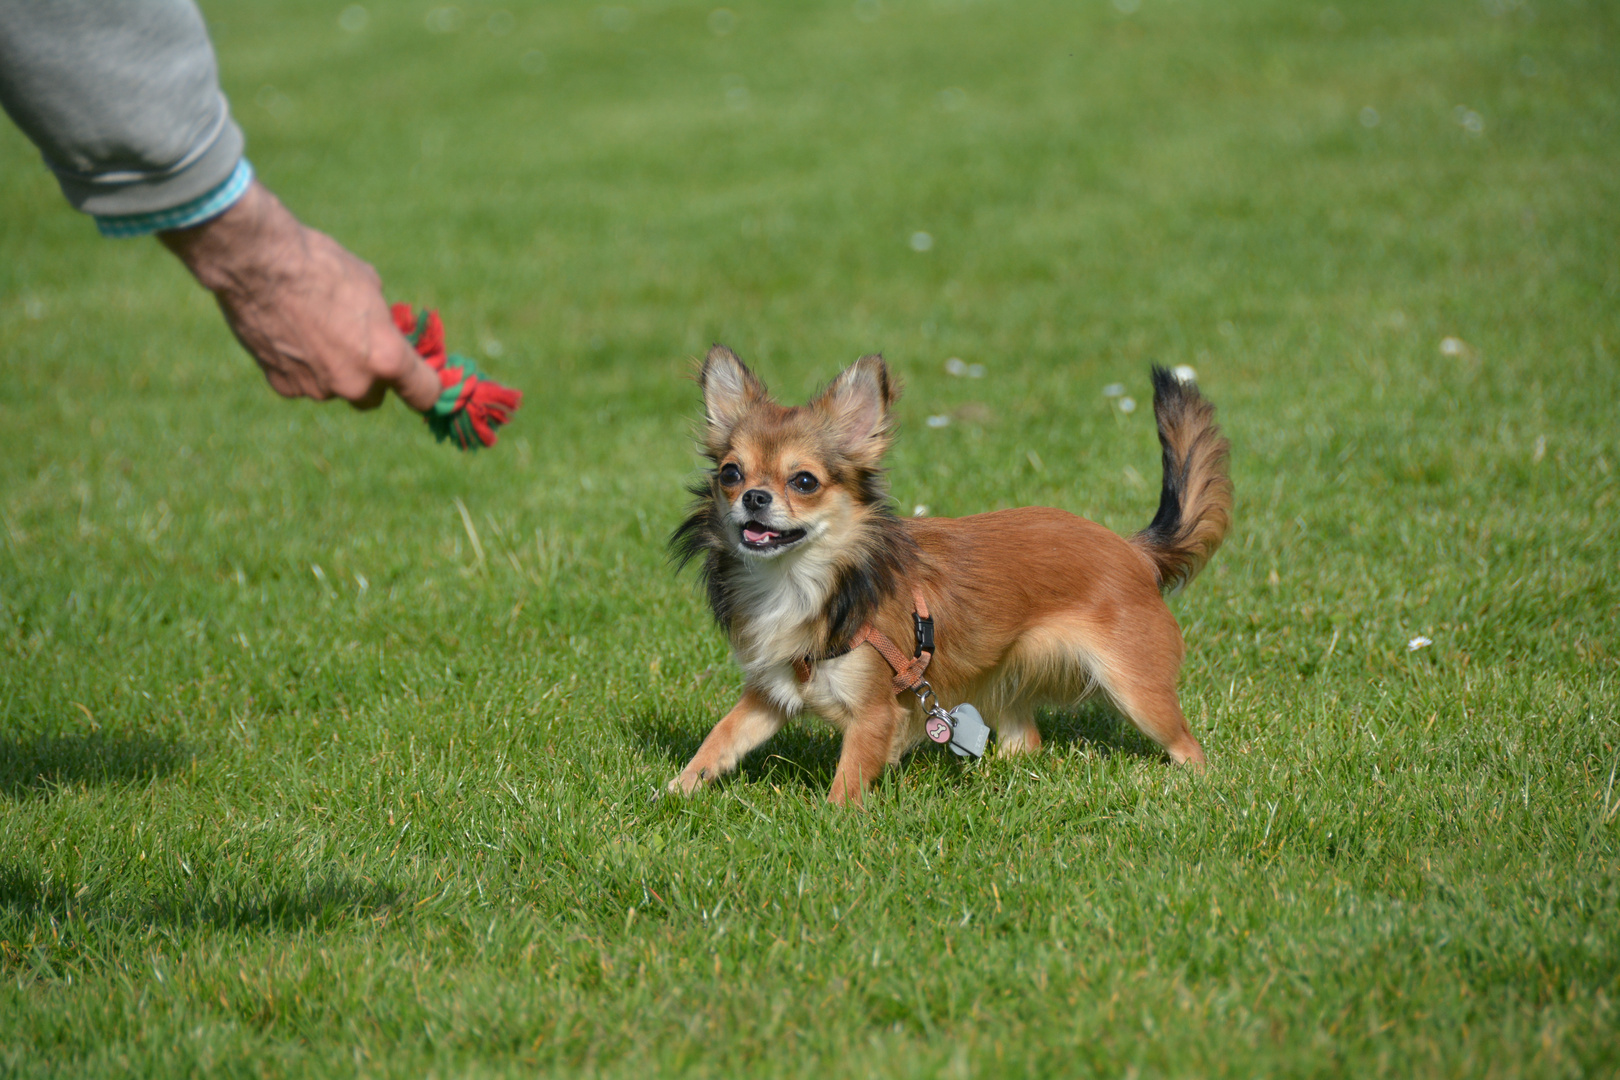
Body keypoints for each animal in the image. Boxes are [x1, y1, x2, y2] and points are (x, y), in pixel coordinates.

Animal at [667, 346, 1224, 803]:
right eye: (731, 473)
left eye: (804, 481)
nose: (753, 497)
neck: (801, 581)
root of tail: (1131, 551)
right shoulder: (770, 693)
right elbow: (722, 738)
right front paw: (677, 789)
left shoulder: (875, 713)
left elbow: (848, 780)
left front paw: (834, 822)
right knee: (1028, 741)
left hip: (1138, 691)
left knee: (1188, 746)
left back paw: (1195, 783)